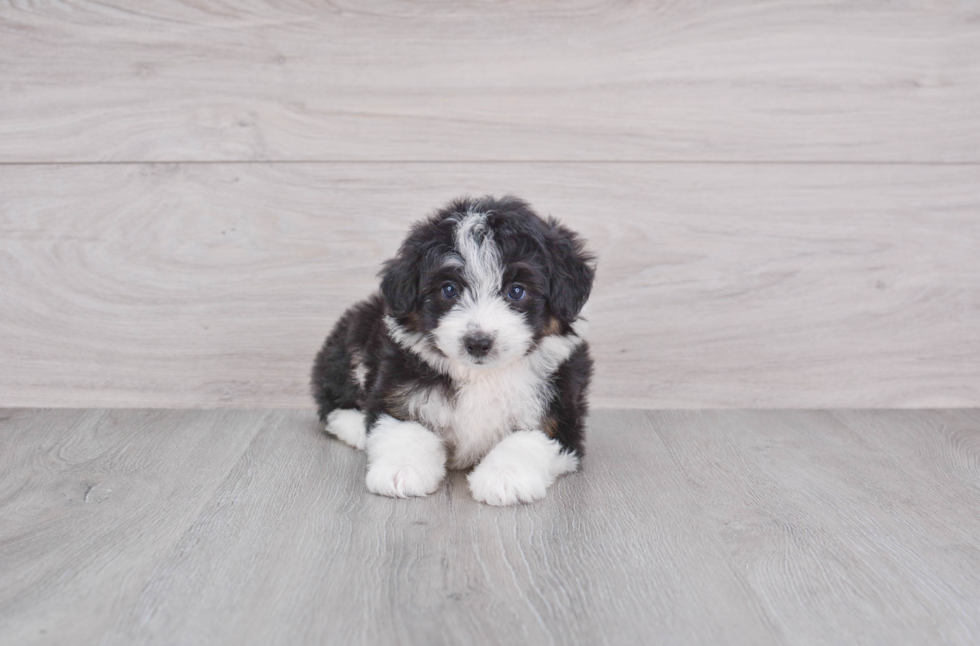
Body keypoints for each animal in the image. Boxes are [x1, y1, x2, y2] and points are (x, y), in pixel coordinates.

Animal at [310, 195, 592, 508]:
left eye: (516, 291)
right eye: (449, 289)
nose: (478, 342)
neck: (480, 375)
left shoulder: (561, 412)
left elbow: (528, 439)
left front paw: (505, 476)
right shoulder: (397, 387)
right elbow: (404, 426)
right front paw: (402, 469)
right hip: (353, 339)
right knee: (333, 400)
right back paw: (355, 427)